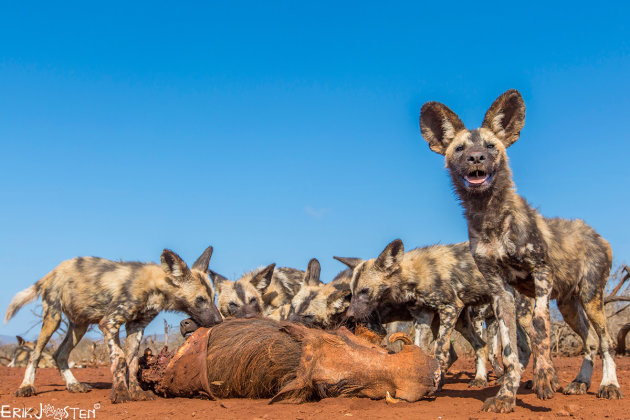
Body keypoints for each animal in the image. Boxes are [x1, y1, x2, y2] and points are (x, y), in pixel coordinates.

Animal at [3, 246, 222, 404]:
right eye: (200, 300)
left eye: (213, 298)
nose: (219, 320)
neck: (155, 287)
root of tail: (54, 271)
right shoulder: (109, 323)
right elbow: (120, 358)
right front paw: (121, 394)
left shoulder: (136, 326)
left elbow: (132, 362)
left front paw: (136, 392)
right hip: (53, 318)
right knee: (36, 352)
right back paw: (26, 387)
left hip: (79, 326)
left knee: (60, 354)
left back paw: (74, 385)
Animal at [338, 240, 532, 388]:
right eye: (352, 292)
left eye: (365, 291)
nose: (350, 315)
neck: (414, 275)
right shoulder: (423, 315)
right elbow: (418, 348)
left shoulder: (450, 308)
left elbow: (440, 350)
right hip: (467, 322)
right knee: (484, 345)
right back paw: (482, 379)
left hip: (519, 314)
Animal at [422, 90, 624, 412]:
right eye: (460, 149)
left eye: (491, 146)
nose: (476, 157)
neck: (490, 218)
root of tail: (596, 233)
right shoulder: (500, 292)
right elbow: (508, 352)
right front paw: (506, 395)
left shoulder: (540, 274)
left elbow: (540, 328)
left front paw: (544, 379)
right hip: (568, 305)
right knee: (590, 340)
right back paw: (580, 382)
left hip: (591, 298)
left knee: (605, 341)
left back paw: (609, 385)